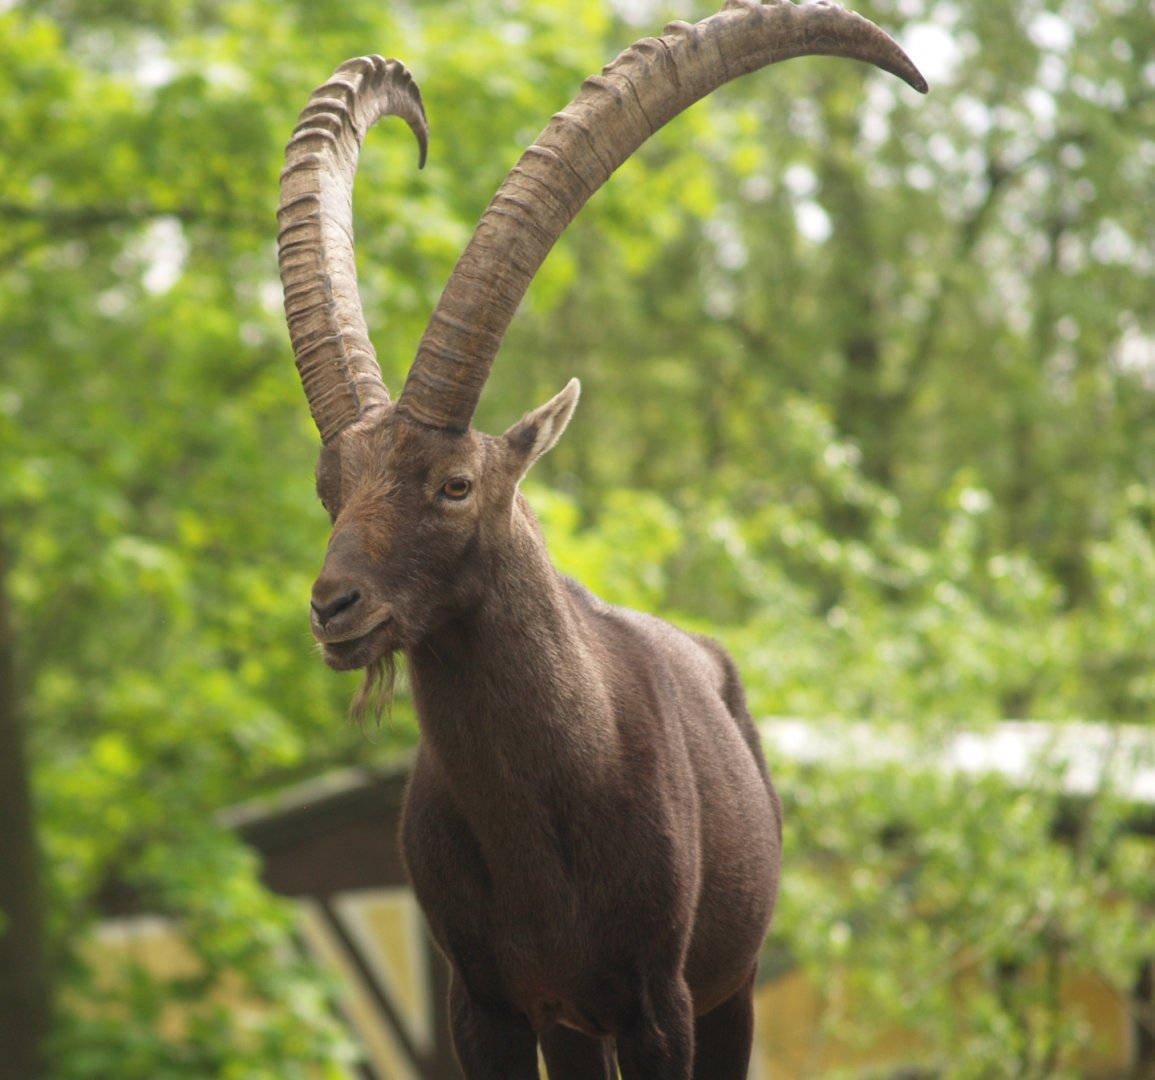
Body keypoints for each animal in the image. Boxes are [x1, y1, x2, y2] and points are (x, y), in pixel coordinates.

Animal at [277, 3, 925, 1077]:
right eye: (329, 491)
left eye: (455, 485)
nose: (335, 608)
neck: (543, 810)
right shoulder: (486, 1006)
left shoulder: (659, 1003)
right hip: (571, 1027)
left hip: (731, 991)